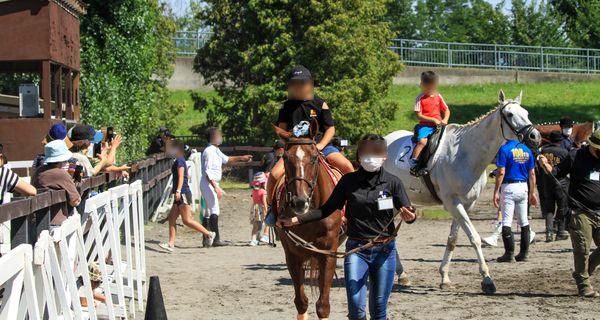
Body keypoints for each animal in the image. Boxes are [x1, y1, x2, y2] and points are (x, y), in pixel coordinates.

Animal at [272, 125, 342, 320]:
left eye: (314, 157)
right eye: (285, 158)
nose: (299, 201)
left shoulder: (328, 253)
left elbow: (323, 306)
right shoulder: (292, 255)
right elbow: (301, 302)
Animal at [384, 90, 544, 296]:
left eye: (526, 113)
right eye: (509, 114)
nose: (535, 136)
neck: (466, 153)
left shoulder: (466, 204)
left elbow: (453, 239)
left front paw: (444, 277)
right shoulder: (453, 203)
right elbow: (474, 238)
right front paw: (487, 279)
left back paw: (402, 274)